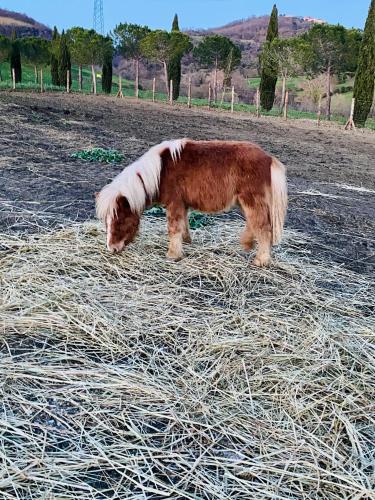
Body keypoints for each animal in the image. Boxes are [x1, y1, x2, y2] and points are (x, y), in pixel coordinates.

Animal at [96, 139, 288, 268]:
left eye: (120, 220)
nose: (112, 249)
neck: (160, 171)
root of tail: (268, 158)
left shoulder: (174, 203)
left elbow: (173, 227)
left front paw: (173, 255)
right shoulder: (183, 204)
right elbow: (183, 224)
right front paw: (186, 242)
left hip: (251, 200)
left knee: (262, 227)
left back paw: (261, 260)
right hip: (244, 201)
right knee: (253, 223)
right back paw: (247, 245)